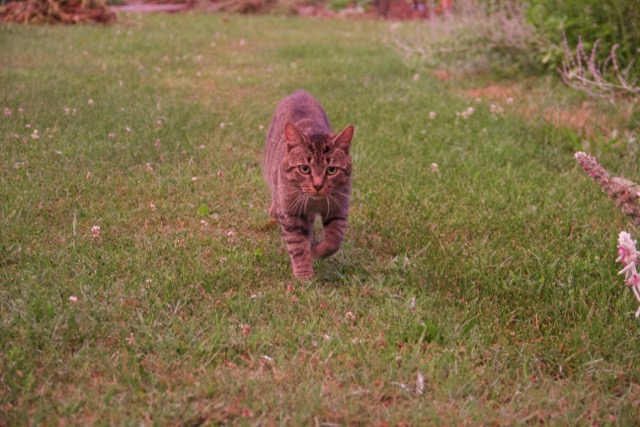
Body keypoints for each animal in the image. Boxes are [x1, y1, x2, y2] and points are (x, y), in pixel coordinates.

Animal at [264, 90, 356, 280]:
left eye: (331, 170)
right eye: (304, 168)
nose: (318, 185)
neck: (315, 202)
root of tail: (298, 91)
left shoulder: (338, 208)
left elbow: (334, 239)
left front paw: (317, 250)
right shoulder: (291, 213)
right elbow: (297, 246)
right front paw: (304, 275)